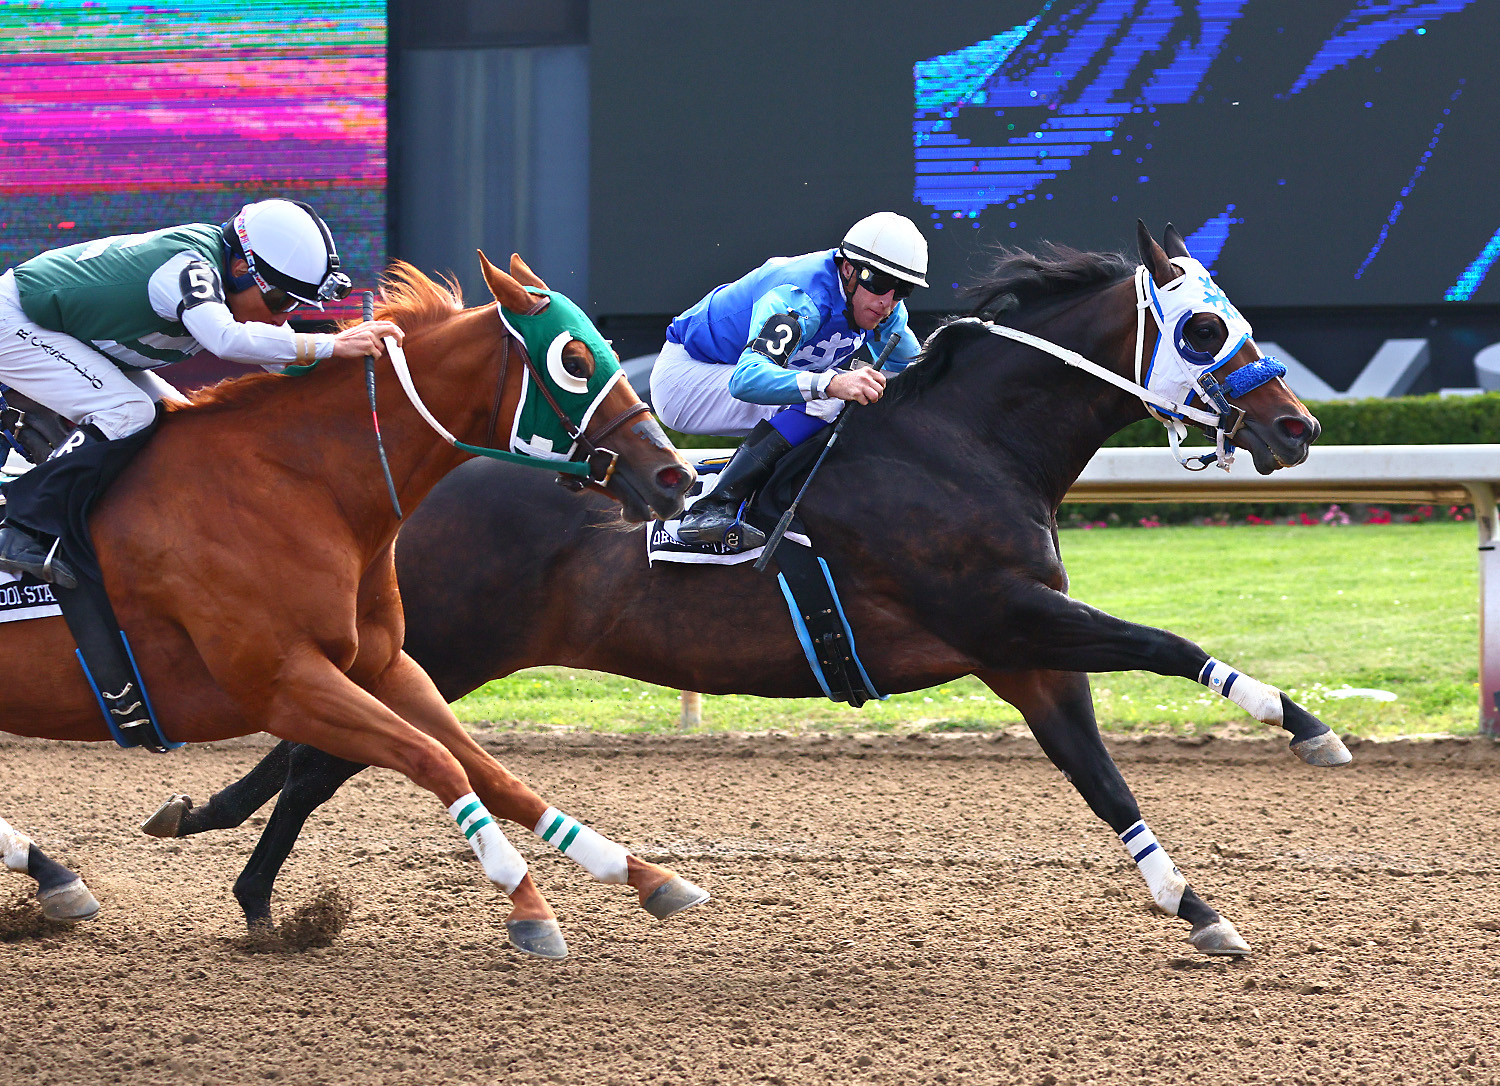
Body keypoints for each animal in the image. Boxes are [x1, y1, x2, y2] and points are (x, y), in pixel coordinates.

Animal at [1, 252, 708, 960]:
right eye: (576, 360)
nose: (674, 476)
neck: (301, 486)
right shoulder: (283, 684)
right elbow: (434, 760)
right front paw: (529, 906)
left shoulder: (387, 666)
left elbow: (491, 773)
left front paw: (646, 875)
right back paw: (53, 874)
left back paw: (50, 874)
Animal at [149, 225, 1338, 954]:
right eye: (1203, 326)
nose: (1297, 426)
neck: (968, 444)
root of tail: (416, 485)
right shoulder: (1002, 611)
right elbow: (1163, 645)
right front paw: (1309, 727)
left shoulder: (1023, 654)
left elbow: (1106, 783)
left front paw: (1198, 908)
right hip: (443, 643)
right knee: (323, 761)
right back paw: (256, 893)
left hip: (429, 650)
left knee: (320, 755)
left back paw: (221, 845)